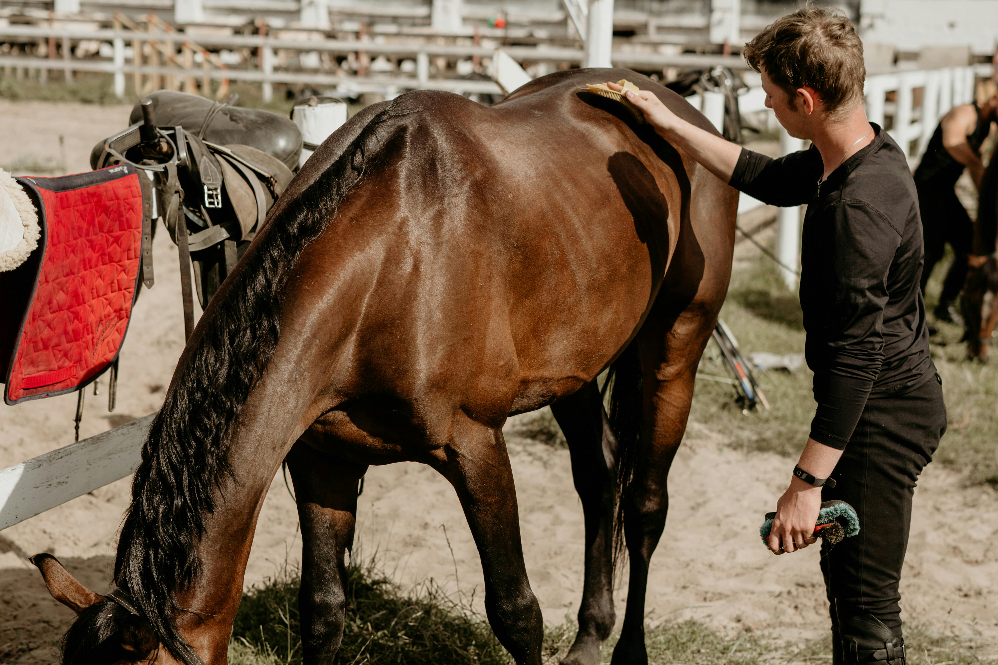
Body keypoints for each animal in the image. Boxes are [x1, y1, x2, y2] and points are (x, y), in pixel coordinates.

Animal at [30, 67, 737, 665]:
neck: (387, 263)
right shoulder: (323, 458)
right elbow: (322, 612)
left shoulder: (476, 445)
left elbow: (516, 612)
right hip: (574, 372)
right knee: (599, 479)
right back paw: (591, 636)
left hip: (675, 347)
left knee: (644, 505)